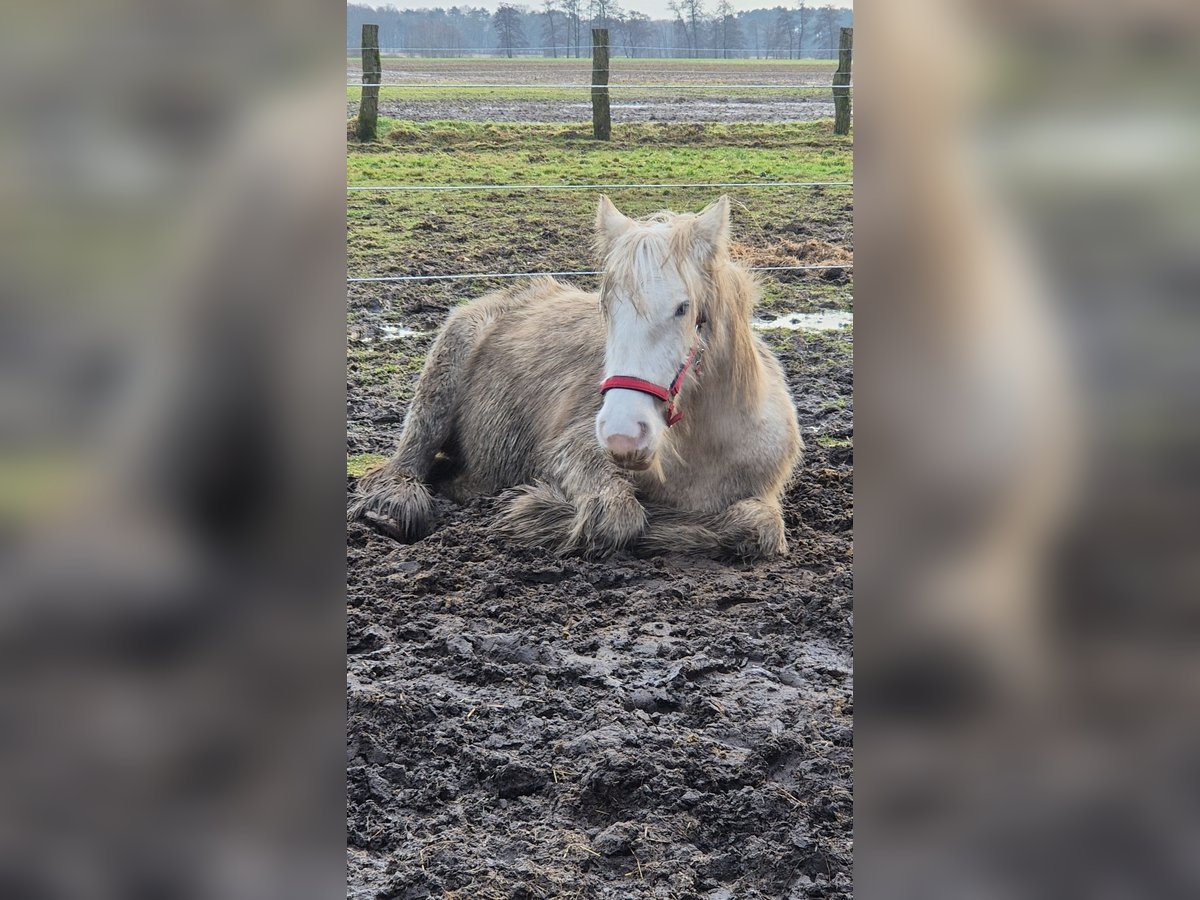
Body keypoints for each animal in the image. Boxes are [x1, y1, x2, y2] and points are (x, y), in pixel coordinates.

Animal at [350, 196, 801, 561]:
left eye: (683, 308)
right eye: (606, 307)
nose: (623, 434)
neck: (703, 450)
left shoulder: (763, 496)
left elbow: (758, 526)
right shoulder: (574, 450)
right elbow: (617, 516)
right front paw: (533, 512)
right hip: (440, 386)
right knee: (407, 460)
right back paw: (394, 506)